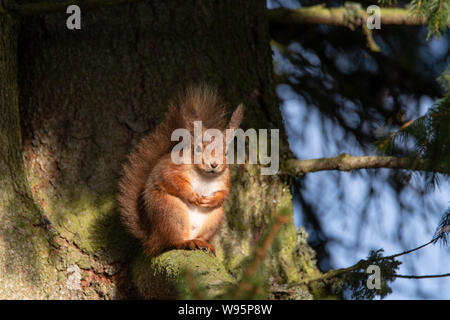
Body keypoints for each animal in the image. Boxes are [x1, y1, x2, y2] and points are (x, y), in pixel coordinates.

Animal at [117, 84, 243, 256]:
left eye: (227, 153)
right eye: (198, 148)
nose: (214, 165)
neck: (205, 176)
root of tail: (152, 238)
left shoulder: (225, 179)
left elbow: (224, 193)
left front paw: (210, 200)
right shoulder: (171, 168)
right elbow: (170, 179)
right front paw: (192, 196)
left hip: (214, 217)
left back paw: (203, 243)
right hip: (171, 212)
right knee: (170, 242)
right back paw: (186, 242)